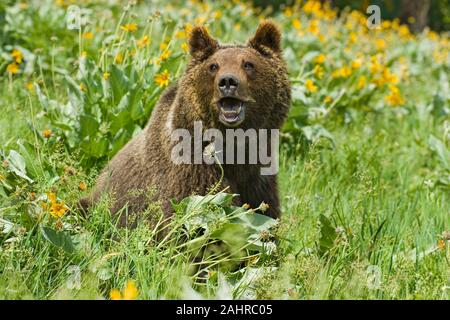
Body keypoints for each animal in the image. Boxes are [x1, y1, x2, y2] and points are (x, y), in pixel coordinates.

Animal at [80, 21, 292, 226]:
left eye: (248, 64)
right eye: (213, 66)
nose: (228, 81)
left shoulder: (258, 175)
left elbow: (265, 212)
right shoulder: (193, 169)